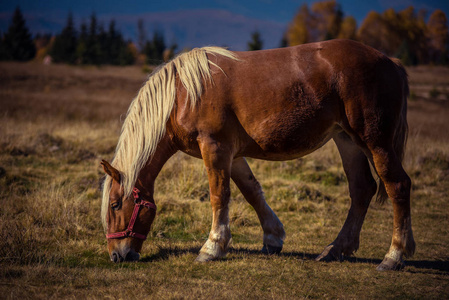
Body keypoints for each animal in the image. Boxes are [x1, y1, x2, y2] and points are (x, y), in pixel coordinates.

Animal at [100, 38, 414, 270]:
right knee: (361, 189)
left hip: (375, 141)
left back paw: (394, 255)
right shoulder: (233, 154)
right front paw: (273, 238)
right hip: (347, 141)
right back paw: (336, 249)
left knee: (397, 185)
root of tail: (391, 62)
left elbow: (219, 196)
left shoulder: (214, 147)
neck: (183, 94)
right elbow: (252, 192)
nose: (116, 255)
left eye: (115, 205)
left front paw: (212, 247)